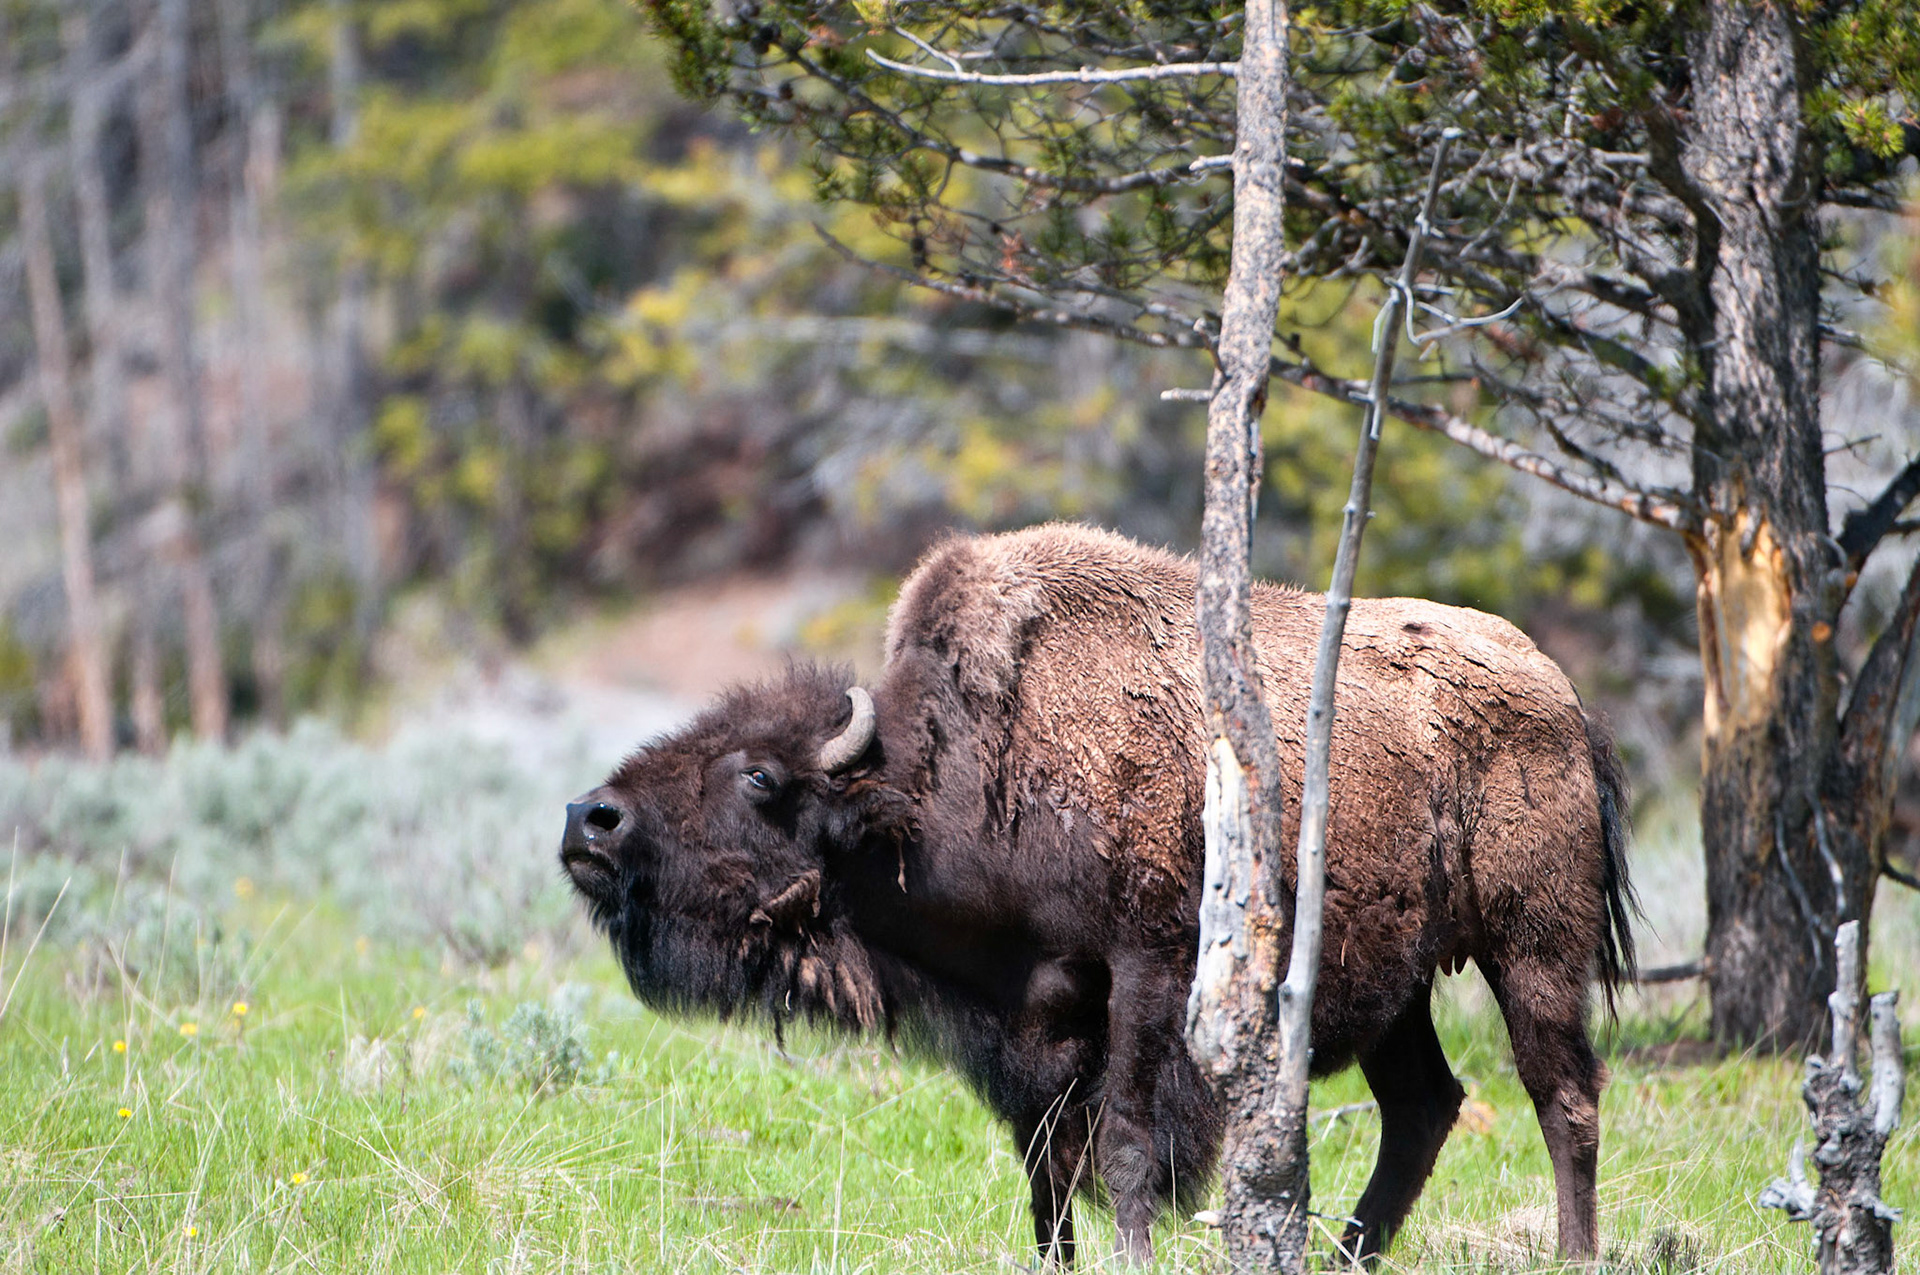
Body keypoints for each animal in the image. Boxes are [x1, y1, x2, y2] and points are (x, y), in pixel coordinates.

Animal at [560, 523, 1634, 1265]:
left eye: (759, 776)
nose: (588, 819)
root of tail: (1563, 695)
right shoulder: (1035, 1021)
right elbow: (1045, 1162)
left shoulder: (1146, 975)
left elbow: (1122, 1145)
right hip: (1395, 984)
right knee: (1424, 1106)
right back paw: (1346, 1257)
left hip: (1533, 947)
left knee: (1561, 1091)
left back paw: (1573, 1253)